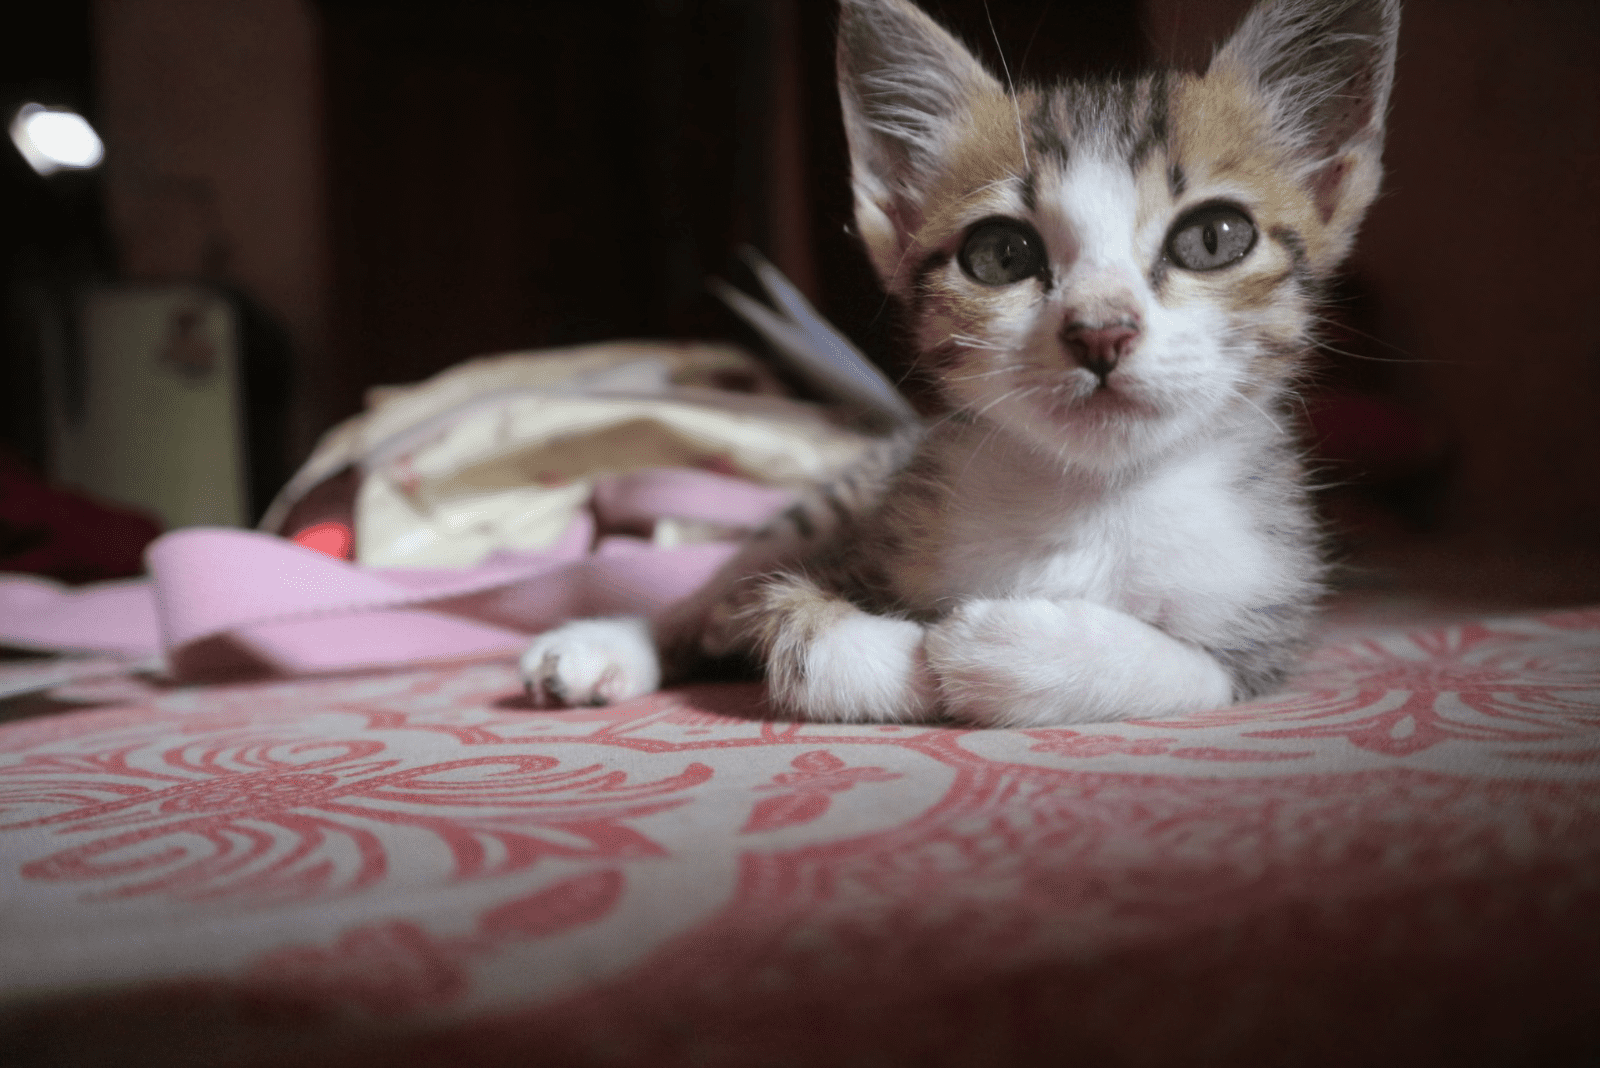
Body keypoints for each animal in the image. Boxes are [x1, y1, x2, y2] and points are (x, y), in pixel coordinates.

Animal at [518, 0, 1395, 725]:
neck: (1092, 500)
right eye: (1002, 254)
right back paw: (604, 647)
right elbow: (795, 634)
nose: (1101, 332)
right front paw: (905, 654)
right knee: (717, 593)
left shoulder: (1268, 619)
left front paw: (1015, 651)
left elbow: (1193, 673)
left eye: (1214, 238)